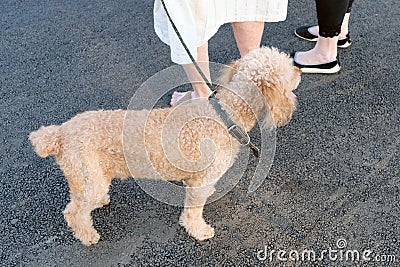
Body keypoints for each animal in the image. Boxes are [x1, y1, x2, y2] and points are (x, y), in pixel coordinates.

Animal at [28, 47, 300, 246]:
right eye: (288, 71)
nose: (299, 67)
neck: (226, 114)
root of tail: (59, 133)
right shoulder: (199, 183)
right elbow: (192, 213)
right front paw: (199, 231)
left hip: (91, 177)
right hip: (86, 177)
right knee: (73, 212)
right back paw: (88, 236)